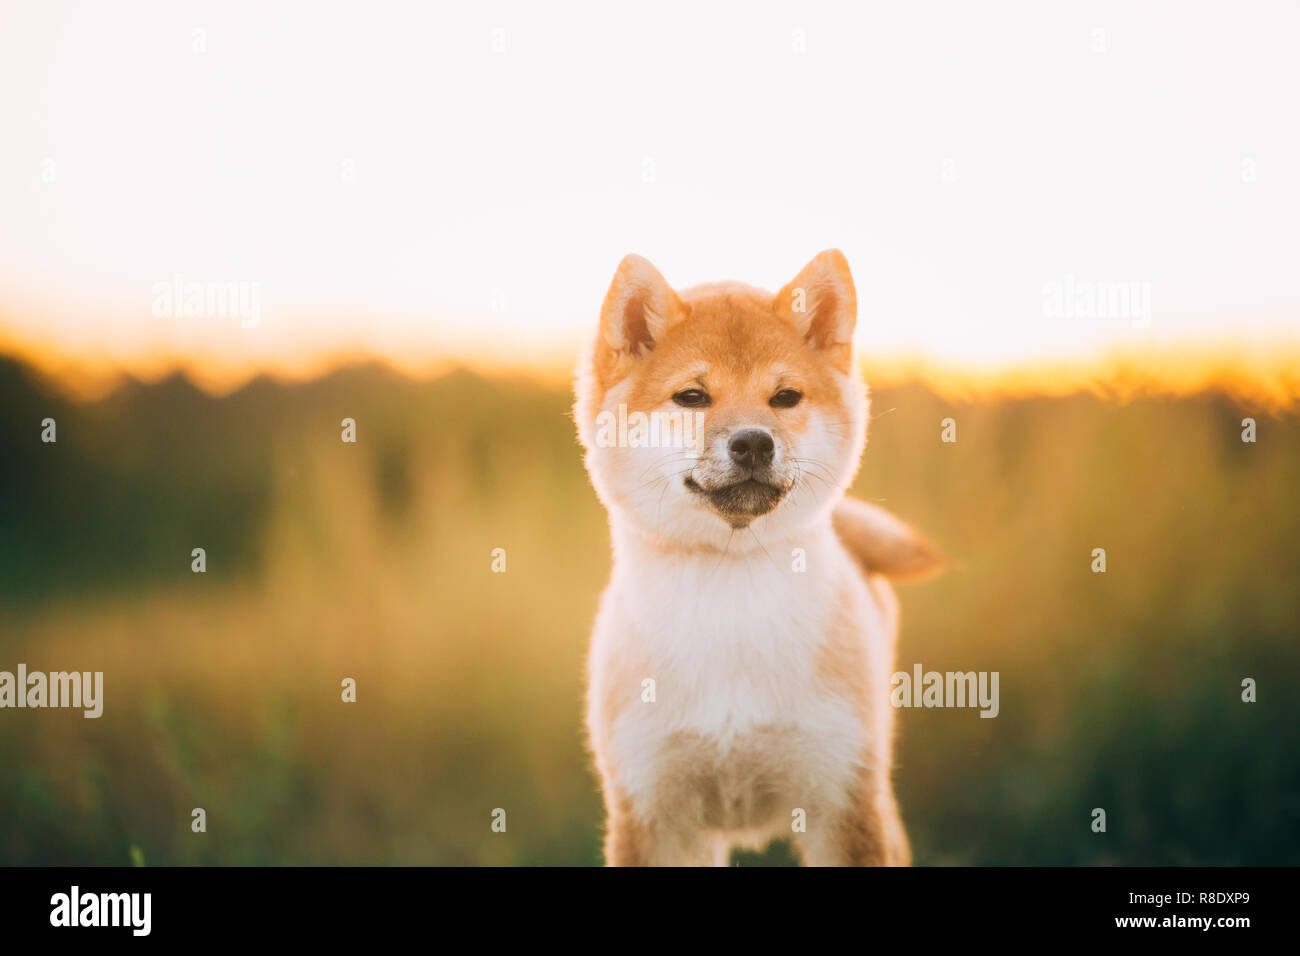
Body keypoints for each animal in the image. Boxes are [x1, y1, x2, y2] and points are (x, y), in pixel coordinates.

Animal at [574, 251, 941, 863]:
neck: (731, 595)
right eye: (692, 397)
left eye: (784, 398)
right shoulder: (653, 813)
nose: (753, 442)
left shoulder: (843, 805)